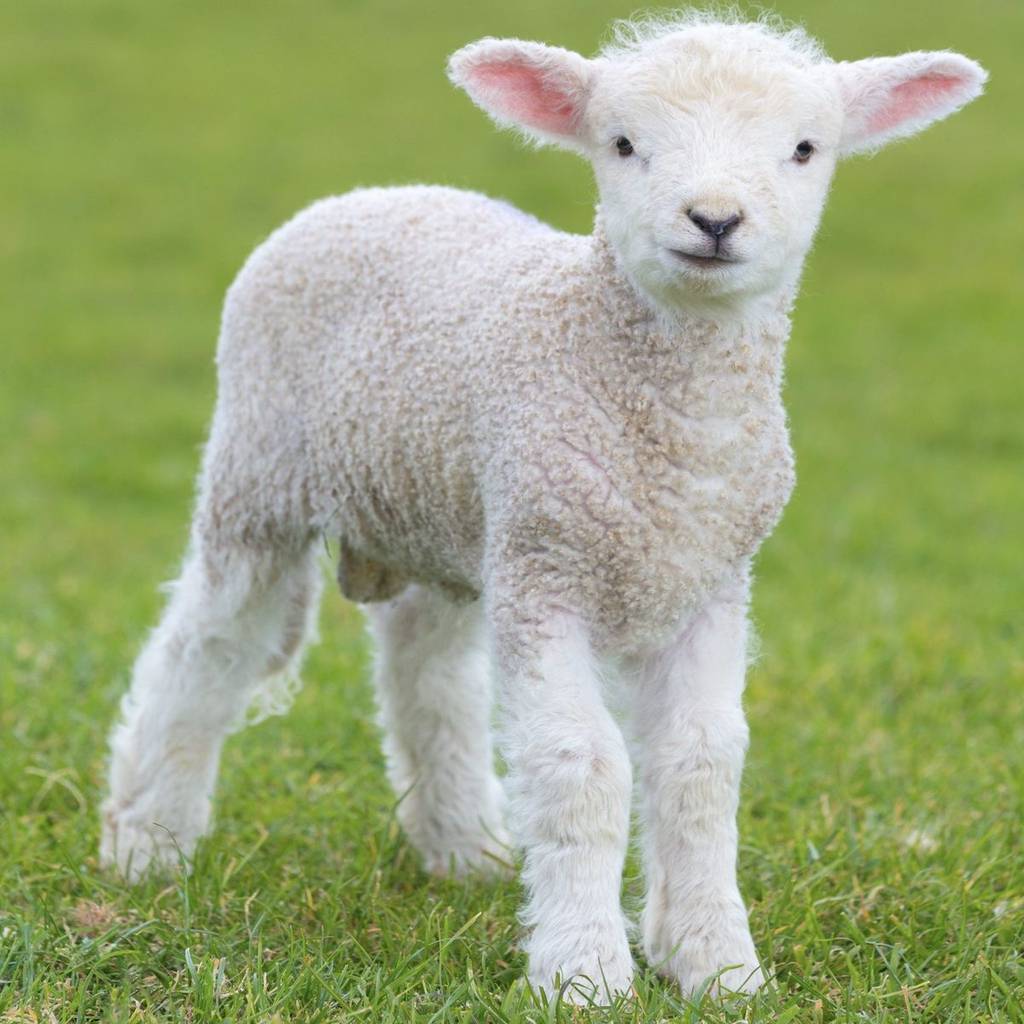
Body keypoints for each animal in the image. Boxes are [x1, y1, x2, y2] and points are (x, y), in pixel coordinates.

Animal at [99, 12, 987, 1003]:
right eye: (624, 144)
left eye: (805, 149)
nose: (714, 220)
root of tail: (374, 192)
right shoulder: (549, 573)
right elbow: (580, 766)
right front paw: (584, 971)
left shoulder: (709, 582)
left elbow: (701, 763)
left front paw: (715, 963)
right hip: (261, 476)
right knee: (207, 648)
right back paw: (147, 843)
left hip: (449, 513)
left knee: (427, 672)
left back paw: (463, 850)